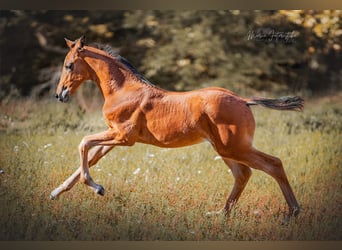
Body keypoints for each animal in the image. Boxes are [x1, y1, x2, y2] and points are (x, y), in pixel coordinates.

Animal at [50, 35, 302, 219]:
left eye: (69, 65)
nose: (60, 94)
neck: (123, 90)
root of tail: (243, 100)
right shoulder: (114, 138)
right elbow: (90, 157)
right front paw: (56, 193)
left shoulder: (123, 137)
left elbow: (83, 144)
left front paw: (97, 188)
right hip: (225, 148)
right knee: (243, 174)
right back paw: (220, 214)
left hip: (234, 147)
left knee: (273, 164)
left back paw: (293, 212)